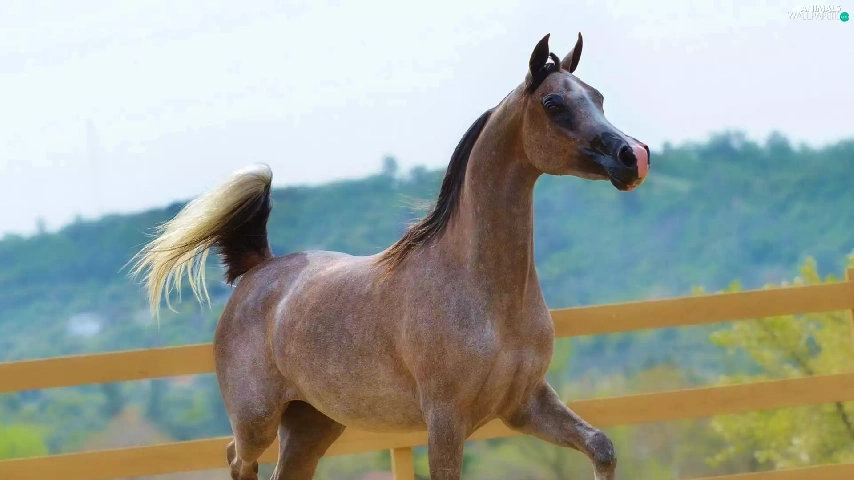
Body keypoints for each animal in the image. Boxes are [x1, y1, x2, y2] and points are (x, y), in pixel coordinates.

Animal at [130, 32, 650, 480]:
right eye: (553, 103)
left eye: (598, 97)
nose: (635, 157)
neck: (482, 291)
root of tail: (259, 268)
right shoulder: (446, 421)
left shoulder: (525, 405)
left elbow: (602, 446)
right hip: (256, 419)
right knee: (237, 459)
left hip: (311, 424)